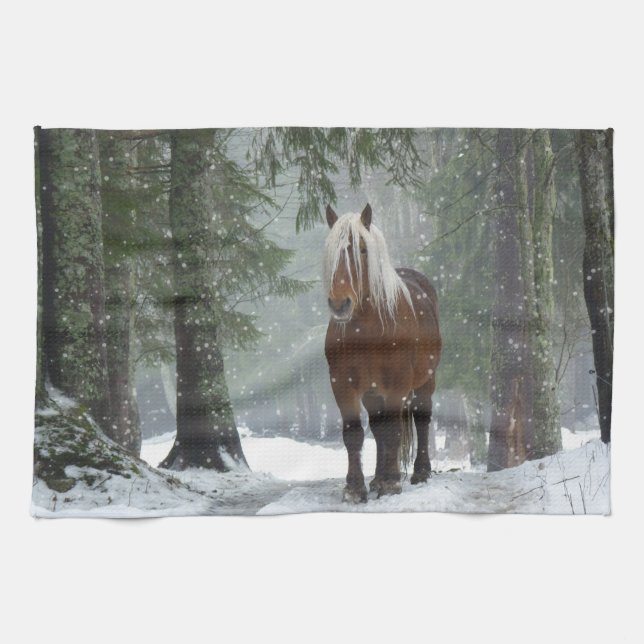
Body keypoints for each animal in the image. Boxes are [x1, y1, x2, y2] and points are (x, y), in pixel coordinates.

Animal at [323, 203, 442, 503]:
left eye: (363, 250)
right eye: (330, 251)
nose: (340, 304)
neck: (367, 330)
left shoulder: (397, 384)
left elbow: (394, 431)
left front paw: (391, 483)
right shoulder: (342, 385)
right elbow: (354, 434)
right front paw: (355, 488)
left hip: (426, 381)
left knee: (420, 420)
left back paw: (419, 472)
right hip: (372, 392)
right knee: (377, 430)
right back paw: (376, 479)